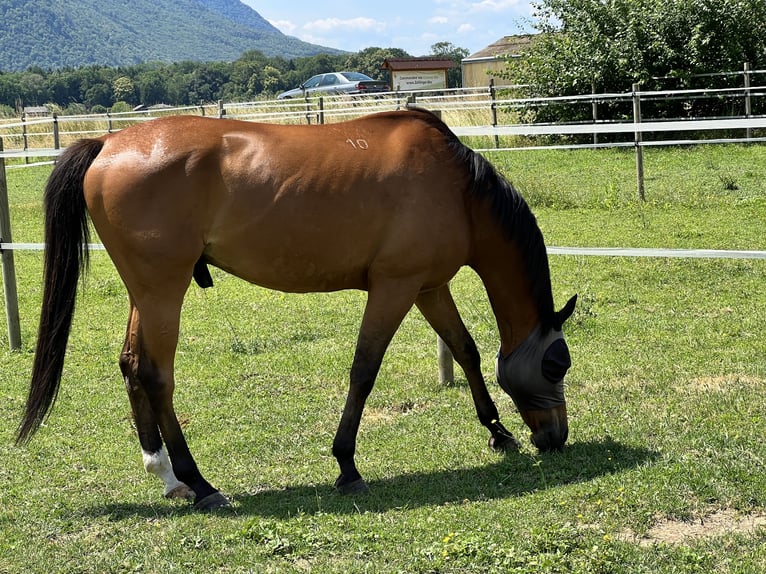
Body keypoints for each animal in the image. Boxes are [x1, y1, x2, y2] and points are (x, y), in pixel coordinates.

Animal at [16, 109, 576, 512]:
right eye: (556, 365)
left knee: (132, 366)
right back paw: (201, 485)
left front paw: (498, 432)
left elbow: (466, 350)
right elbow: (364, 370)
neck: (457, 189)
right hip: (162, 293)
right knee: (156, 376)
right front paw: (347, 465)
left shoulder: (428, 287)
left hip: (147, 294)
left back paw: (168, 476)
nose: (556, 437)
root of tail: (108, 143)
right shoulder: (394, 287)